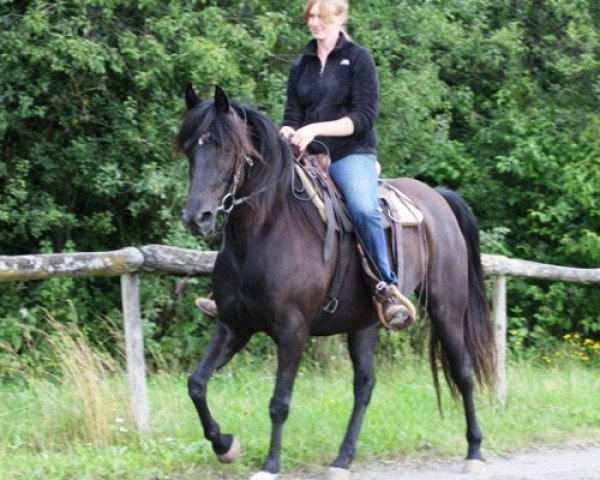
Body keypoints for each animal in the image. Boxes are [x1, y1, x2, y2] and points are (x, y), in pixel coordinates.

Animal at [176, 85, 494, 480]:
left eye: (226, 148)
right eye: (191, 148)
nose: (197, 217)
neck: (266, 231)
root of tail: (439, 199)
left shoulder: (292, 330)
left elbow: (279, 401)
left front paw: (271, 464)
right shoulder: (234, 324)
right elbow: (196, 385)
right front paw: (225, 446)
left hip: (447, 308)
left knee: (463, 373)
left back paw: (475, 451)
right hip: (366, 323)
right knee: (365, 385)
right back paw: (342, 459)